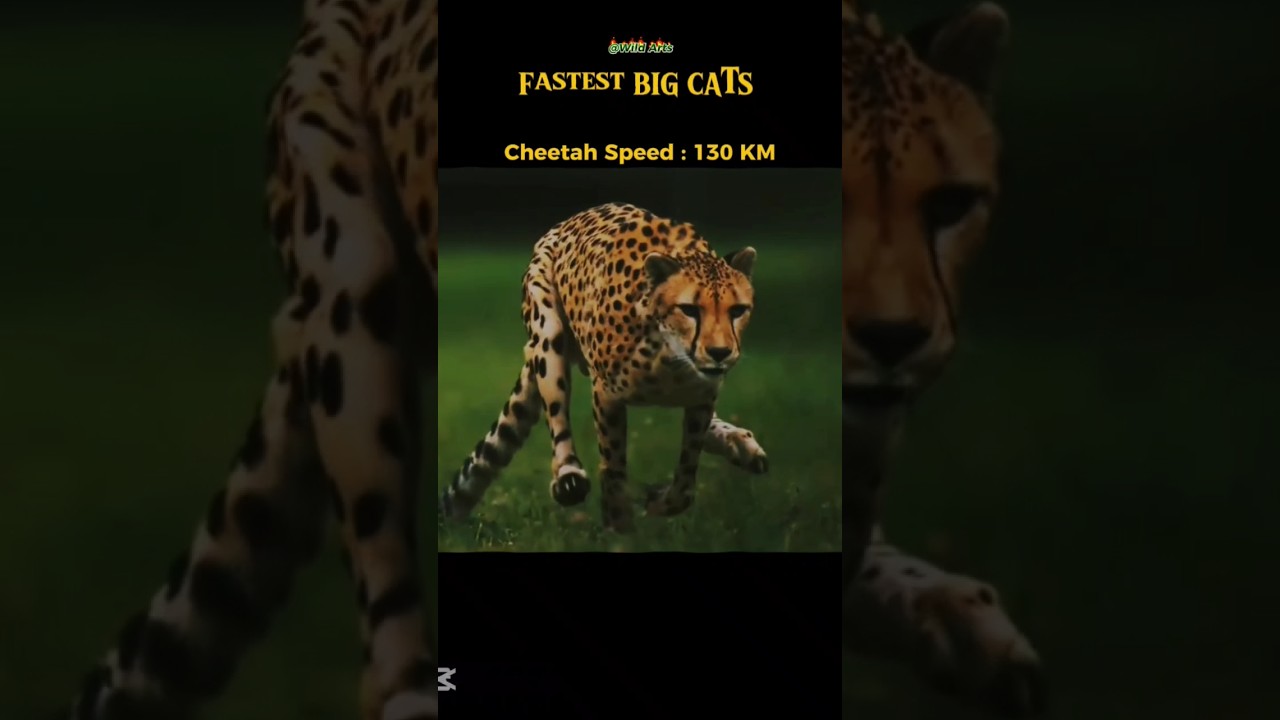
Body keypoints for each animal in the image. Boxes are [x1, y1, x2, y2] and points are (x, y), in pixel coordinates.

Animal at [440, 202, 769, 534]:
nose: (720, 352)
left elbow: (687, 474)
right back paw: (568, 476)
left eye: (738, 310)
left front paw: (658, 501)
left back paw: (741, 443)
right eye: (689, 309)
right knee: (557, 414)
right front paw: (618, 524)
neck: (669, 354)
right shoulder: (607, 393)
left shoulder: (703, 395)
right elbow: (613, 464)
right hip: (547, 336)